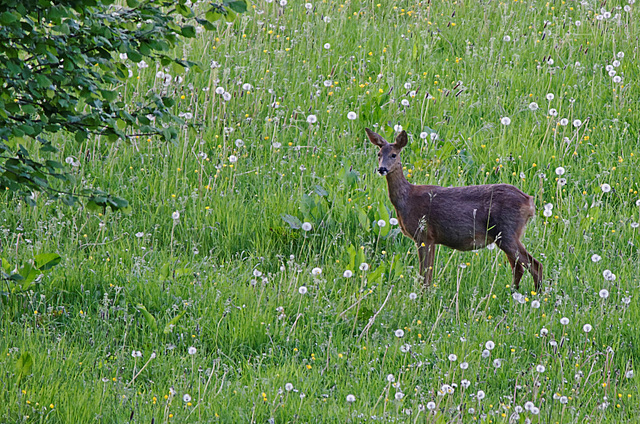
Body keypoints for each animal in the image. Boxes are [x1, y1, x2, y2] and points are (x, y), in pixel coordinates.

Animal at [368, 127, 544, 292]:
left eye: (394, 155)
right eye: (378, 154)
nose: (382, 169)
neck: (407, 200)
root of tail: (529, 202)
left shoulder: (423, 234)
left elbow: (424, 274)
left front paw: (422, 297)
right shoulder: (432, 239)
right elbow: (428, 274)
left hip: (506, 232)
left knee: (535, 265)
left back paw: (537, 294)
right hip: (507, 235)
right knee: (519, 268)